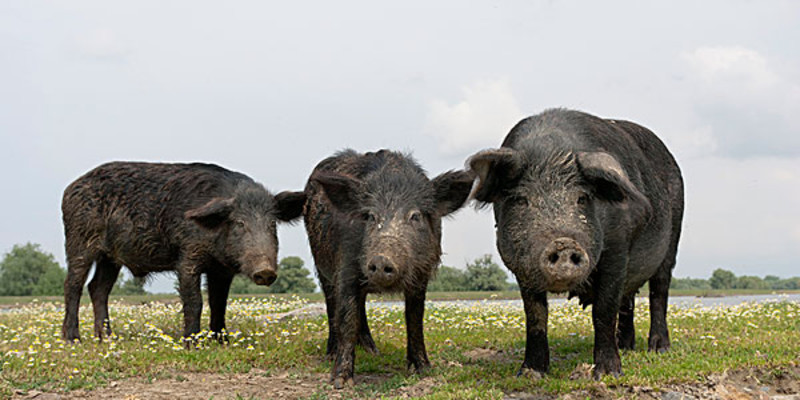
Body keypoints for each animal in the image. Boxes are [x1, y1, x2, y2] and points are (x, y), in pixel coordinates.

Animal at [61, 161, 306, 342]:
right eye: (239, 223)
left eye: (272, 224)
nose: (265, 271)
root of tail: (69, 188)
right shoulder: (188, 256)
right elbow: (195, 300)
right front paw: (192, 344)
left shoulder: (221, 270)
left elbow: (219, 303)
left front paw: (223, 342)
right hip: (79, 240)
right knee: (73, 285)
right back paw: (73, 339)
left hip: (110, 257)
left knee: (98, 288)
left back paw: (107, 338)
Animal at [304, 150, 472, 388]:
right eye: (371, 216)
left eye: (415, 216)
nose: (382, 260)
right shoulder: (346, 268)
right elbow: (347, 319)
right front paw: (341, 382)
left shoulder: (420, 276)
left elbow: (415, 319)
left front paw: (423, 370)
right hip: (322, 268)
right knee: (332, 305)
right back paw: (332, 354)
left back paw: (373, 352)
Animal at [468, 108, 680, 378]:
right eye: (521, 199)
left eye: (582, 198)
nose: (563, 244)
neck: (551, 152)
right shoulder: (521, 266)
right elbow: (535, 315)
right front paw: (530, 373)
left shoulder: (617, 249)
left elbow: (604, 309)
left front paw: (607, 374)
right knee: (629, 299)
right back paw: (627, 347)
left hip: (673, 241)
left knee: (658, 292)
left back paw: (659, 349)